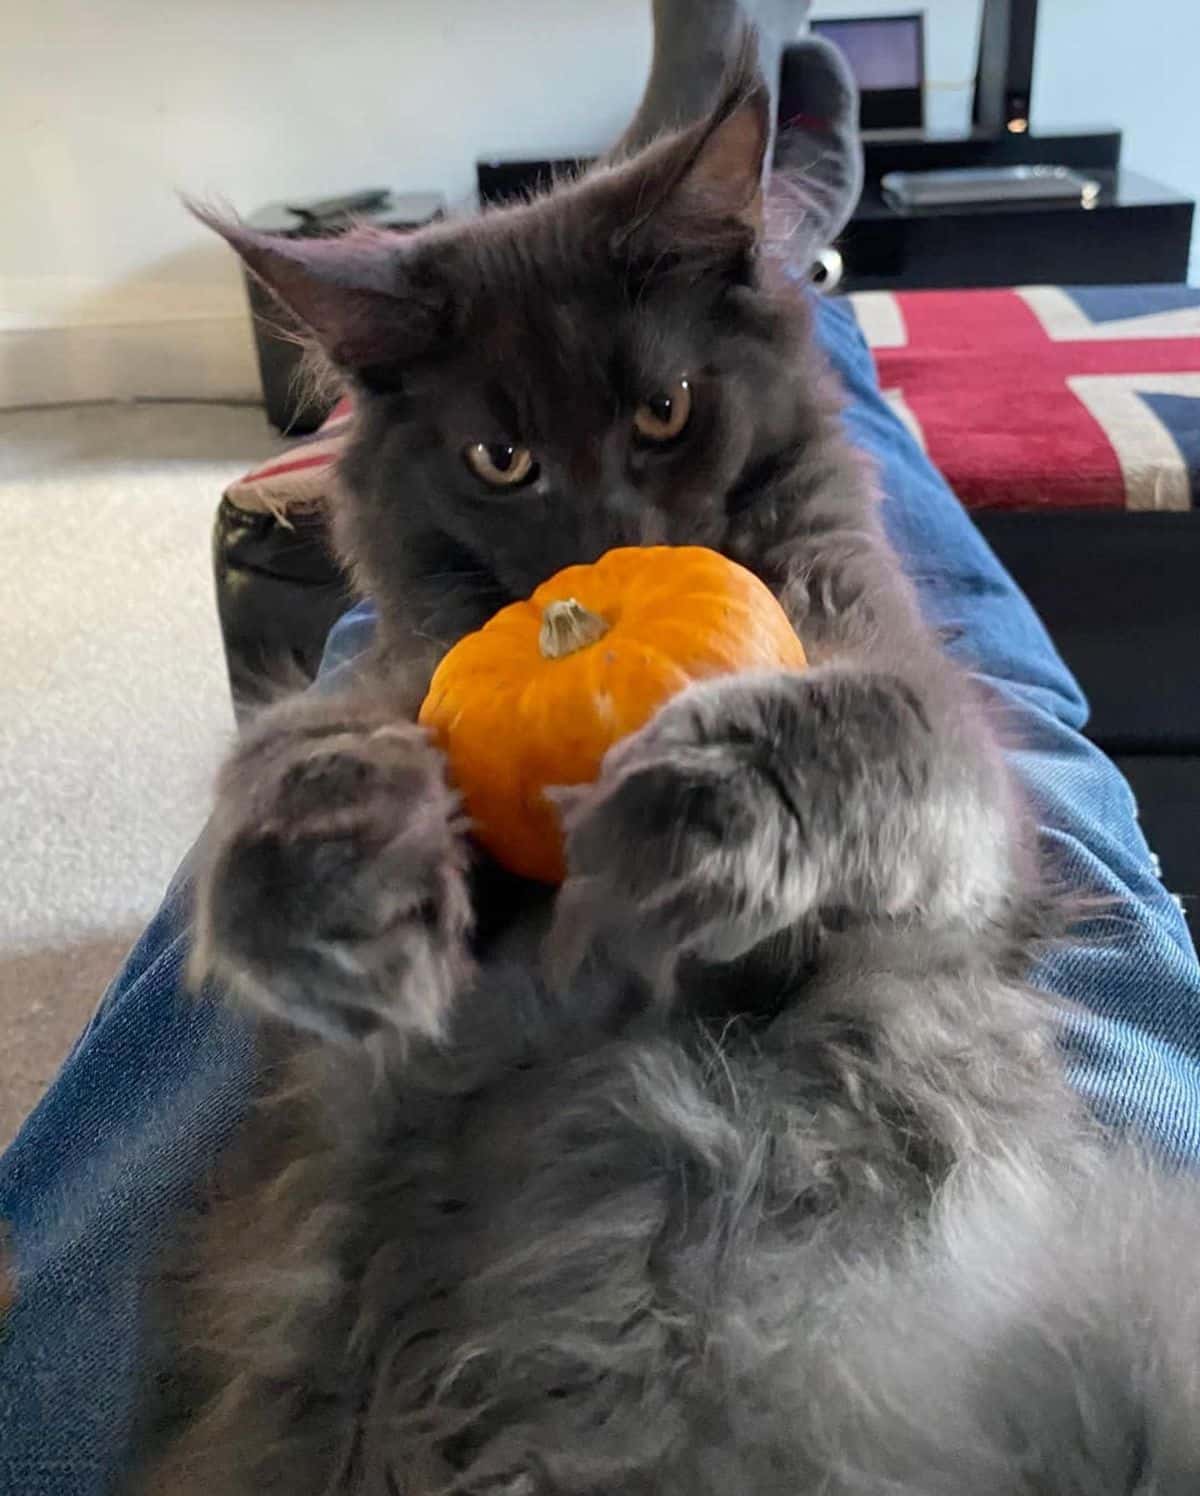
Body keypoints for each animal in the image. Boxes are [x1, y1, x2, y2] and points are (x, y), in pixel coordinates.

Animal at [133, 32, 1197, 1496]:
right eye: (502, 457)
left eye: (665, 410)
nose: (607, 545)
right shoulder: (394, 782)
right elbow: (302, 743)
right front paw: (329, 879)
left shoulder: (947, 755)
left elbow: (869, 728)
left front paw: (711, 798)